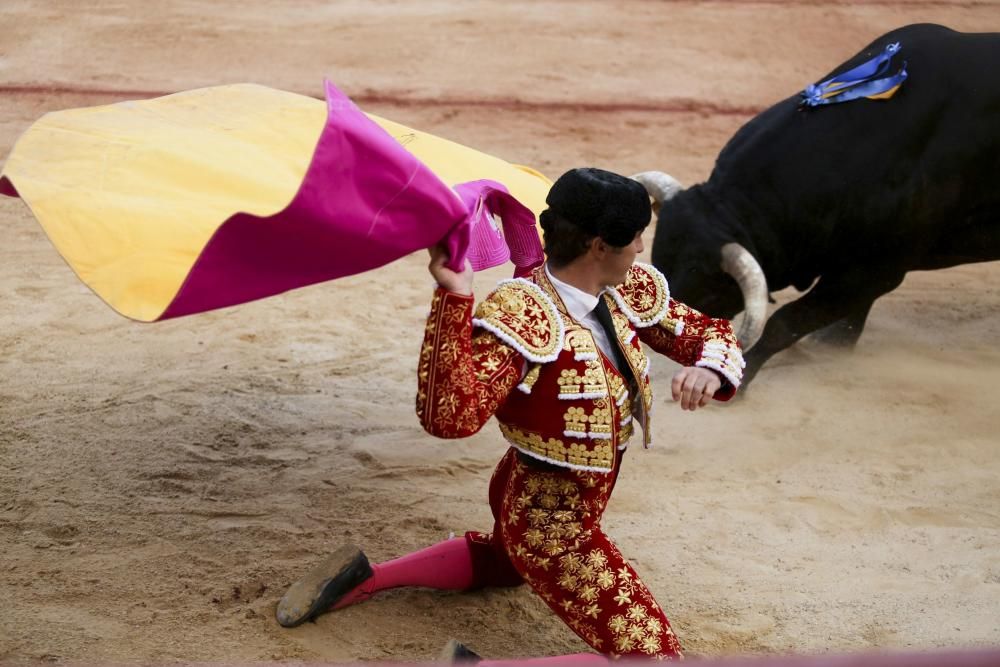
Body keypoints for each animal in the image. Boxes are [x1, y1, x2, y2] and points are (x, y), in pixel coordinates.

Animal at [632, 24, 1000, 386]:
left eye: (708, 297)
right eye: (660, 264)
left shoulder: (878, 270)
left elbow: (787, 321)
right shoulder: (860, 268)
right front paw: (832, 344)